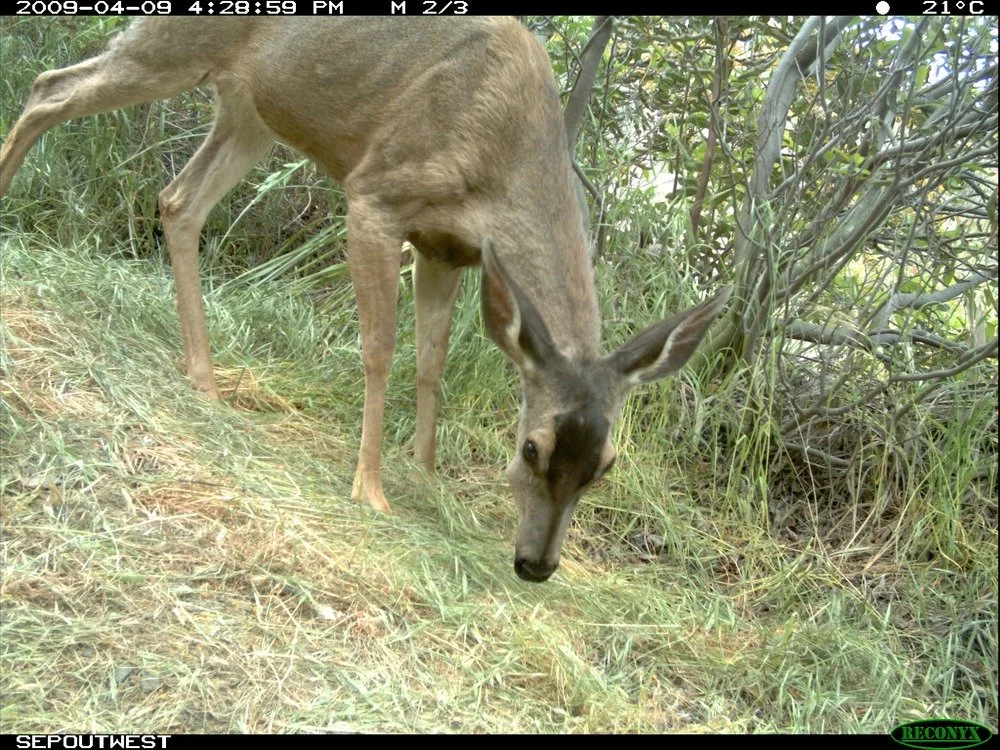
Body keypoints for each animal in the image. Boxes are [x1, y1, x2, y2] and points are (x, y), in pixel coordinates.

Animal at [0, 18, 731, 583]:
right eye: (531, 448)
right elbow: (380, 349)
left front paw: (426, 474)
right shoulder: (377, 194)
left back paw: (204, 376)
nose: (536, 566)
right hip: (171, 45)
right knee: (48, 88)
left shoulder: (448, 250)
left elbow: (432, 362)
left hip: (248, 108)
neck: (507, 152)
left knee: (179, 202)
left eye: (605, 465)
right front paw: (371, 489)